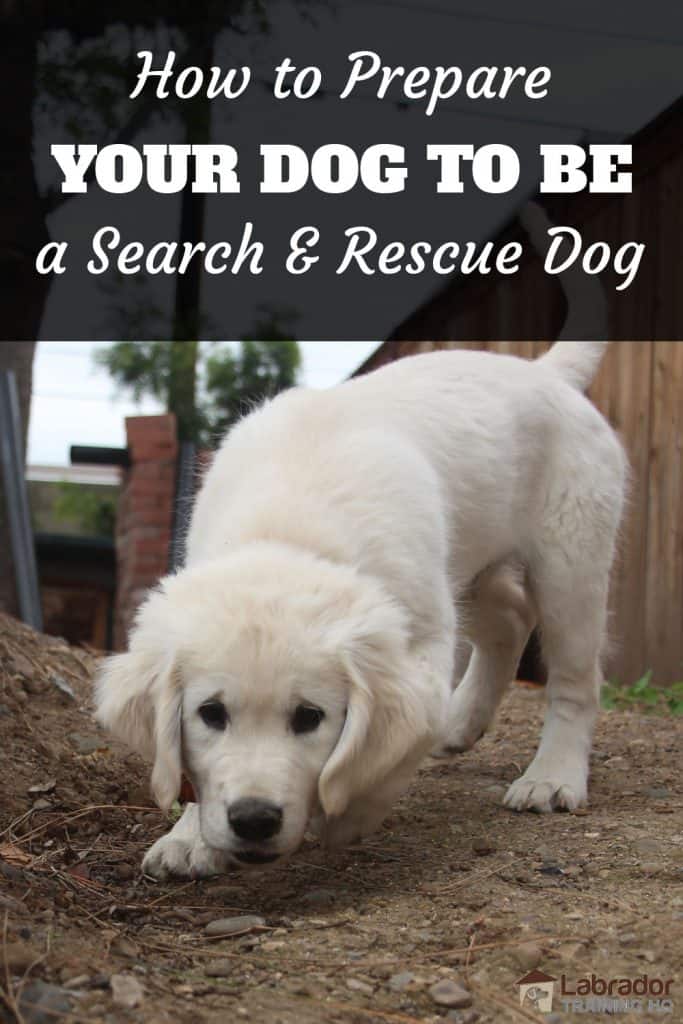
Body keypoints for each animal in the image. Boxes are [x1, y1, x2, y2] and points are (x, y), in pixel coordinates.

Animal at [94, 337, 626, 880]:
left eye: (309, 717)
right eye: (211, 713)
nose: (254, 820)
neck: (289, 530)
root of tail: (547, 372)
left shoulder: (425, 641)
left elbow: (391, 748)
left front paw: (347, 811)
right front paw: (189, 837)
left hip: (570, 561)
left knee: (575, 679)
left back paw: (552, 776)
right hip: (470, 569)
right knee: (513, 618)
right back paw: (462, 722)